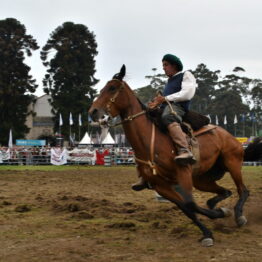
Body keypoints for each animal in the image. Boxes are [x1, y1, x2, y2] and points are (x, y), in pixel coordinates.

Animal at [88, 65, 252, 246]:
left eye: (112, 88)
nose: (93, 111)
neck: (150, 141)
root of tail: (229, 135)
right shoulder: (160, 185)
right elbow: (186, 207)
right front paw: (211, 226)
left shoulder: (183, 174)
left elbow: (190, 203)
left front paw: (217, 219)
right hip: (202, 179)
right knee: (225, 192)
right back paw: (219, 206)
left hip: (233, 163)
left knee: (243, 190)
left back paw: (239, 216)